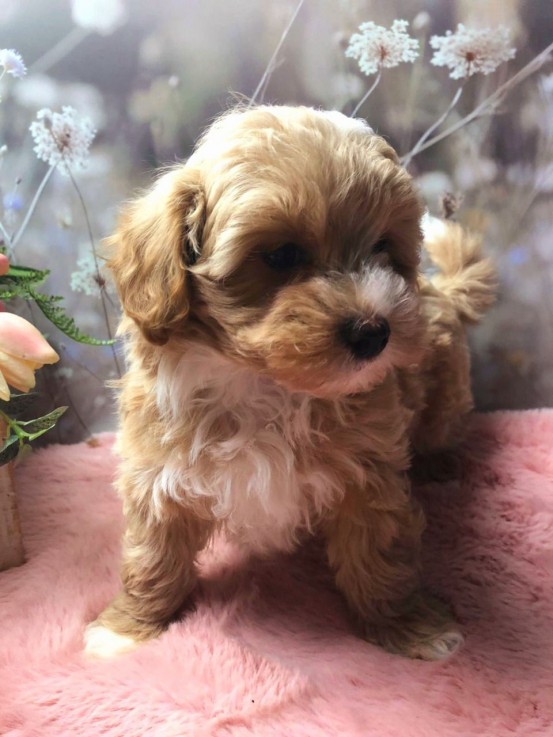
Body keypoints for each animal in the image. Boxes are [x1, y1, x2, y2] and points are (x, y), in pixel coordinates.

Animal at [86, 105, 496, 660]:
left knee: (443, 427)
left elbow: (382, 554)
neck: (263, 383)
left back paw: (440, 462)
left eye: (382, 247)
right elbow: (152, 557)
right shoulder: (156, 473)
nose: (374, 332)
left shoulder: (371, 473)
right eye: (281, 255)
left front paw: (409, 625)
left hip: (447, 393)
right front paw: (127, 627)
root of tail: (441, 289)